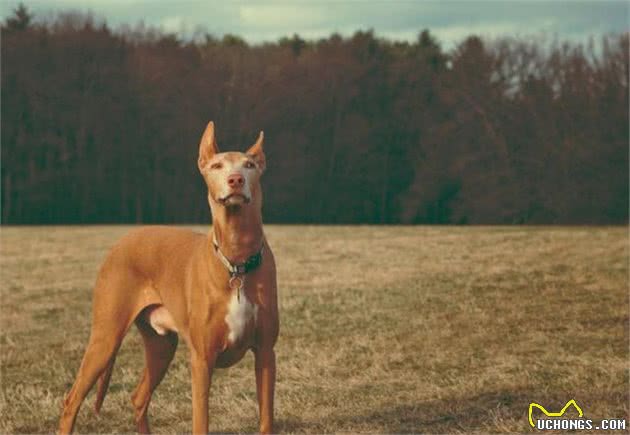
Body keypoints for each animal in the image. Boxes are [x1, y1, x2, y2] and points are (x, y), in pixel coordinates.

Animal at [58, 122, 278, 435]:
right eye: (217, 165)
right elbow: (200, 422)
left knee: (139, 398)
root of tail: (121, 242)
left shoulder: (266, 354)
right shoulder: (201, 360)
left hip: (161, 347)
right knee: (72, 400)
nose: (235, 180)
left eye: (249, 165)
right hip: (106, 338)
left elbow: (266, 419)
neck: (236, 262)